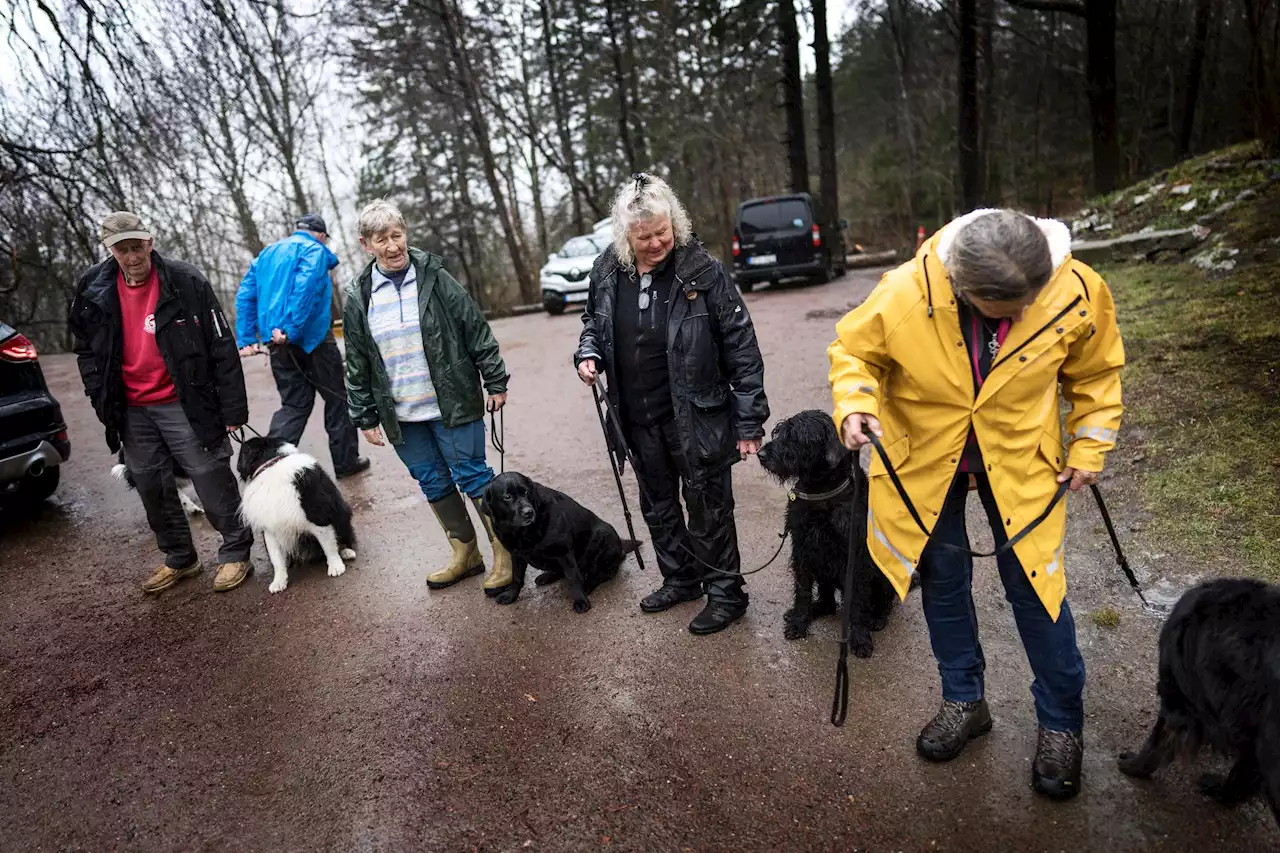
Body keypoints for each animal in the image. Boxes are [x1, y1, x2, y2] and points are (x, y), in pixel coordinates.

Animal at [234, 435, 355, 589]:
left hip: (344, 512)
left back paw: (347, 551)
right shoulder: (270, 528)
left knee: (345, 535)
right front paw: (279, 582)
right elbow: (276, 558)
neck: (272, 464)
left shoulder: (317, 515)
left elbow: (329, 545)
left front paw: (336, 566)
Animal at [481, 471, 640, 612]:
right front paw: (511, 595)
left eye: (526, 492)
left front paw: (580, 600)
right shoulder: (516, 555)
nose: (529, 512)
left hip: (604, 534)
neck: (523, 532)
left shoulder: (564, 552)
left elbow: (573, 577)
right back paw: (547, 576)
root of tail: (621, 549)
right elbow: (517, 577)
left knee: (601, 574)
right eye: (507, 497)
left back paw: (587, 585)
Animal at [752, 409, 896, 653]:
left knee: (885, 601)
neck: (821, 491)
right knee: (828, 602)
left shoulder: (855, 555)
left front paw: (859, 636)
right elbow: (802, 589)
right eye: (779, 431)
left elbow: (858, 600)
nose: (760, 454)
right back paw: (813, 609)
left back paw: (876, 618)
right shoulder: (802, 547)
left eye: (796, 436)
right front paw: (799, 621)